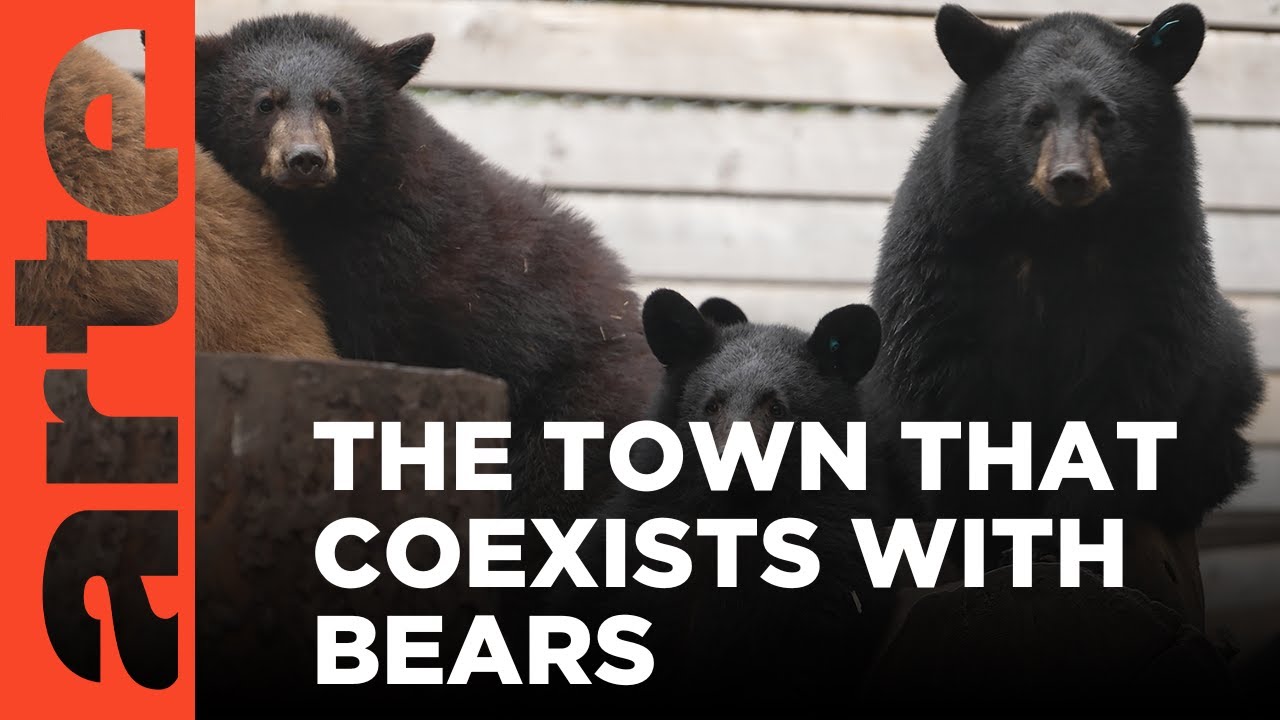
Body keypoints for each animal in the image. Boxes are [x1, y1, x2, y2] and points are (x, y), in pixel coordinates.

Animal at [192, 14, 660, 522]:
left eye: (334, 104)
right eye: (264, 102)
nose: (305, 159)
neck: (323, 212)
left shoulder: (395, 260)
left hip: (579, 408)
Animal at [864, 4, 1264, 547]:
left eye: (1105, 116)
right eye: (1035, 117)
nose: (1070, 177)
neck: (1059, 232)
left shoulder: (1159, 252)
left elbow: (1132, 383)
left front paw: (1076, 521)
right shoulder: (948, 247)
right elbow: (942, 373)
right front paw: (984, 521)